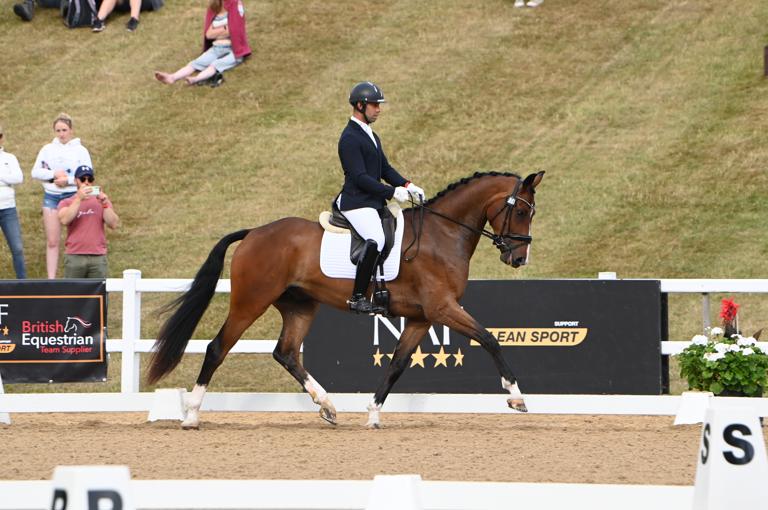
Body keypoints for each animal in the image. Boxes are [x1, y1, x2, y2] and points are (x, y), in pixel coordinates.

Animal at [148, 169, 544, 428]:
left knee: (285, 352)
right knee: (218, 347)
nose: (519, 259)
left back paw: (327, 405)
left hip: (300, 306)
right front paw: (516, 396)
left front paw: (372, 413)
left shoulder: (422, 317)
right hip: (250, 301)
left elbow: (398, 364)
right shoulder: (442, 308)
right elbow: (489, 339)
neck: (442, 233)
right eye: (521, 211)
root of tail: (255, 232)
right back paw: (192, 415)